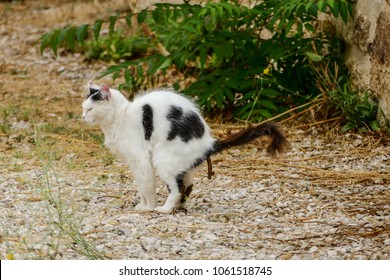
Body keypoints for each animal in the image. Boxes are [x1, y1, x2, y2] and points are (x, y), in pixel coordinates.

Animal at [82, 82, 290, 213]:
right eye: (84, 108)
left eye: (90, 109)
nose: (82, 117)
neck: (120, 117)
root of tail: (208, 142)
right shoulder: (134, 164)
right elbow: (141, 186)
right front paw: (142, 205)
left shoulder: (141, 161)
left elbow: (147, 186)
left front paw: (149, 207)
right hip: (180, 165)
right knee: (187, 185)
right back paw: (178, 207)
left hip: (162, 159)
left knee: (176, 188)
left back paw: (165, 209)